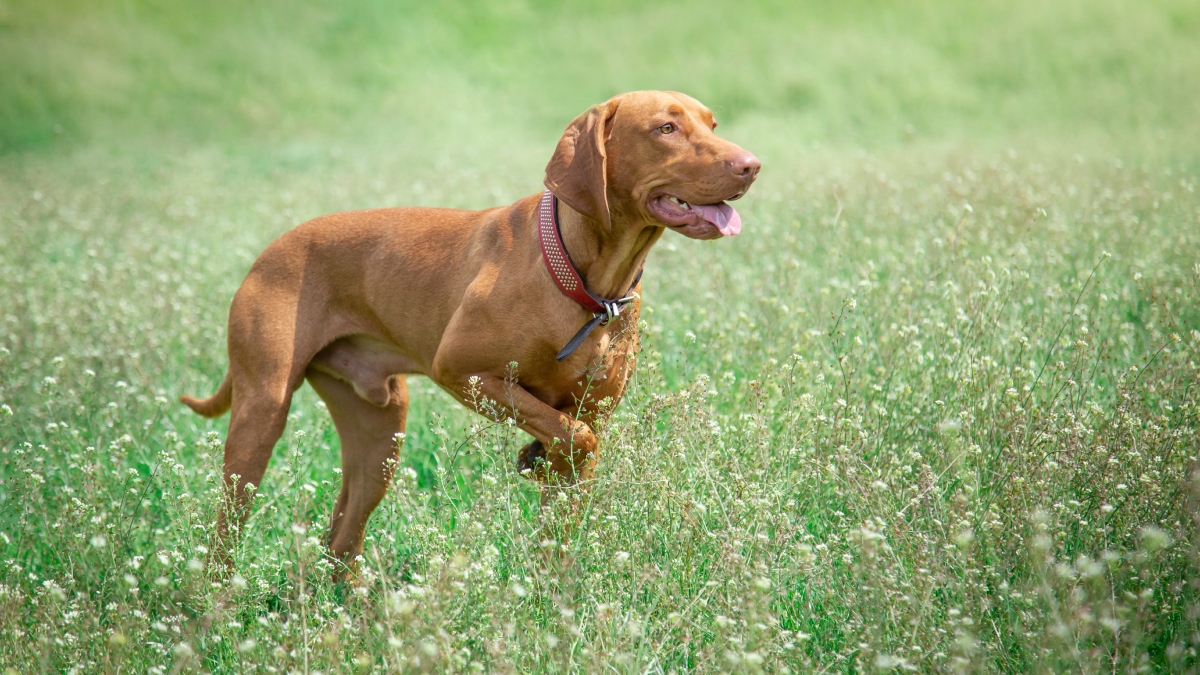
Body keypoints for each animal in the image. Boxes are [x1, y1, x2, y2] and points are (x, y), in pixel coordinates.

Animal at [180, 90, 758, 566]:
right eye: (666, 128)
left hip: (380, 434)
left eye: (712, 123)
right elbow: (574, 435)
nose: (752, 165)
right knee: (225, 540)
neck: (583, 281)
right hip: (262, 416)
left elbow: (568, 480)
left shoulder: (591, 412)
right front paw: (535, 456)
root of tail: (270, 249)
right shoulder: (462, 372)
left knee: (340, 543)